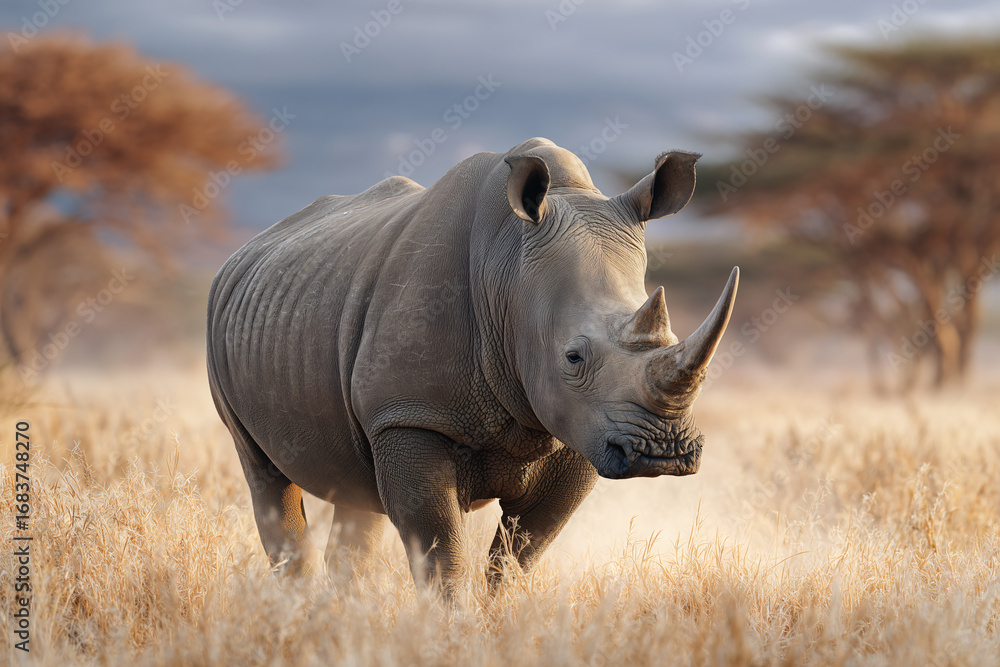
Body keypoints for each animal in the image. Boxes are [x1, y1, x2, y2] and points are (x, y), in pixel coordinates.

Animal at [207, 137, 738, 590]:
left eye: (672, 338)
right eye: (573, 357)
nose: (663, 451)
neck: (508, 279)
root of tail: (243, 252)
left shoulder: (578, 433)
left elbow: (520, 554)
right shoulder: (409, 415)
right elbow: (443, 554)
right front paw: (453, 629)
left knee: (358, 498)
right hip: (227, 324)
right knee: (265, 477)